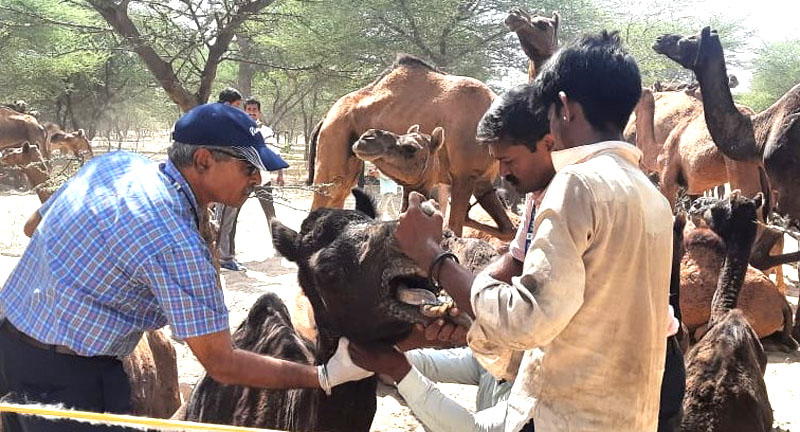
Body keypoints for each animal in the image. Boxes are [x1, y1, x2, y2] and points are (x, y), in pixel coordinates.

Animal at [306, 53, 512, 240]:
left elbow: (507, 230)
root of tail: (325, 117)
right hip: (336, 134)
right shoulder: (464, 176)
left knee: (337, 196)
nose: (367, 137)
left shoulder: (482, 182)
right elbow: (455, 228)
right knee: (328, 192)